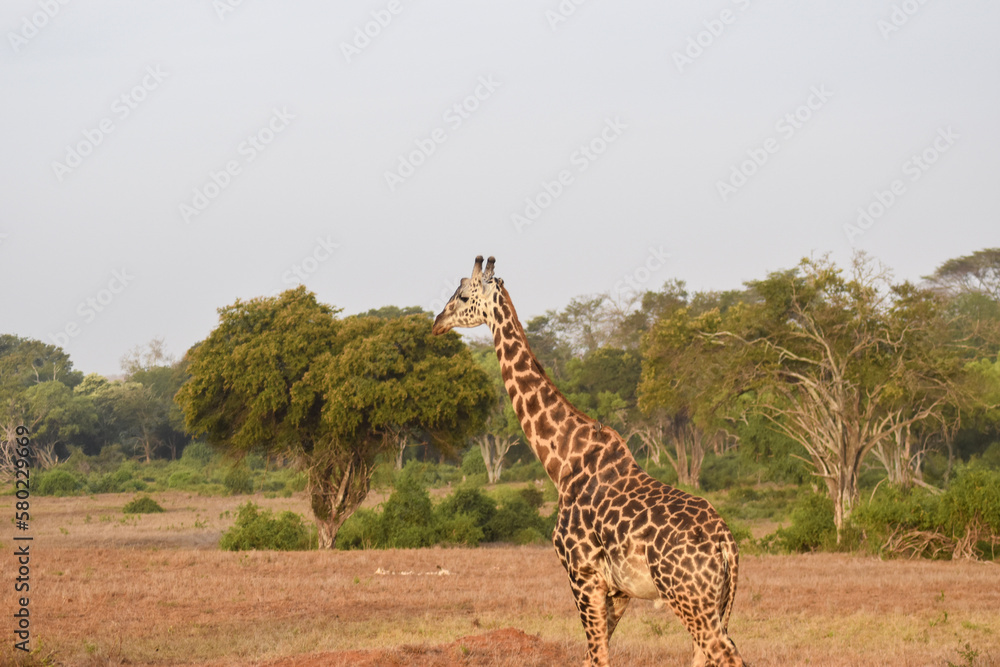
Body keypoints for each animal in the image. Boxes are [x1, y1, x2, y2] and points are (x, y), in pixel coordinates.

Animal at [432, 256, 744, 667]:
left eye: (464, 296)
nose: (437, 321)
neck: (563, 460)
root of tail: (727, 543)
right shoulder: (618, 590)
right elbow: (592, 655)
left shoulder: (582, 573)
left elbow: (597, 656)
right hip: (713, 602)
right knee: (706, 654)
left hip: (689, 597)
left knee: (727, 653)